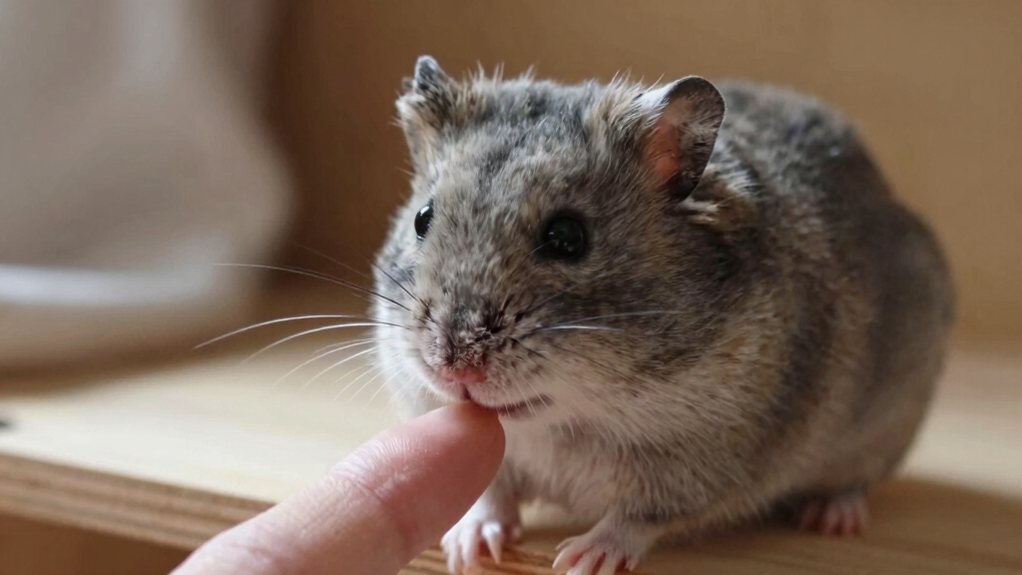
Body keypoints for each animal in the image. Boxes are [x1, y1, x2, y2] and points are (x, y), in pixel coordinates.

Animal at [371, 56, 954, 575]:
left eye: (567, 237)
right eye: (422, 218)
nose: (452, 366)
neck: (566, 420)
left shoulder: (696, 467)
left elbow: (635, 519)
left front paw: (581, 560)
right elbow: (491, 495)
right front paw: (469, 550)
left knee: (857, 481)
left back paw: (832, 517)